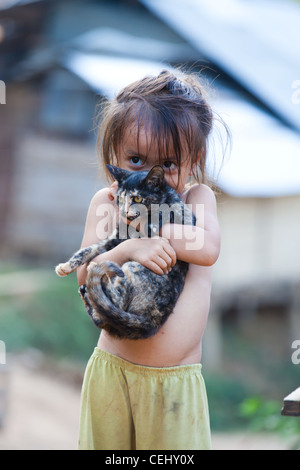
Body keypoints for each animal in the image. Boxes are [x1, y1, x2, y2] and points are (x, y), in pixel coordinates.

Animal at [55, 164, 197, 338]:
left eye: (137, 199)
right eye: (120, 199)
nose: (124, 212)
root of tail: (151, 323)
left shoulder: (184, 216)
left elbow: (168, 208)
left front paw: (152, 223)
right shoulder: (113, 239)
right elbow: (88, 250)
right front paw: (65, 266)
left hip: (131, 267)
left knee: (114, 303)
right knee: (103, 316)